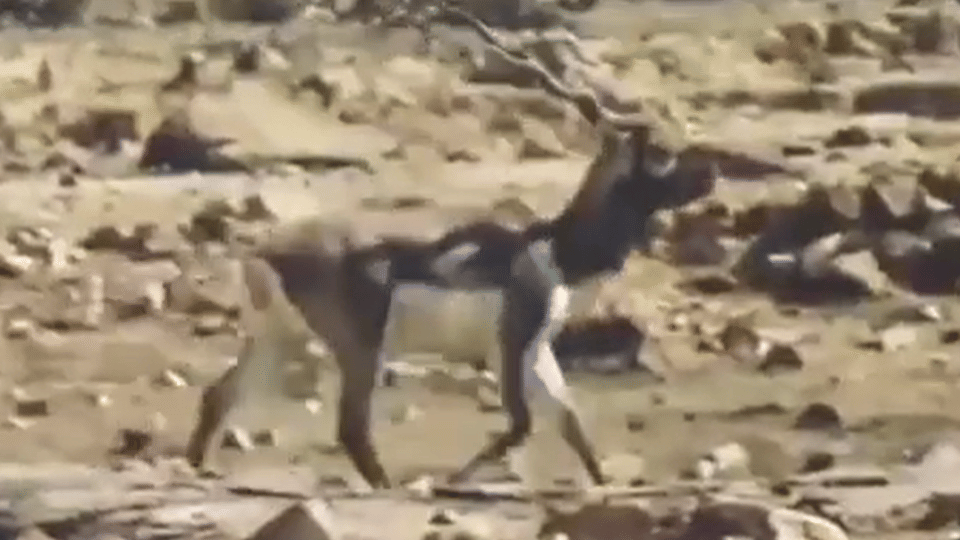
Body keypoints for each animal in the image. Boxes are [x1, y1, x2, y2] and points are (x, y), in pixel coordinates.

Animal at [184, 7, 716, 490]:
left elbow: (571, 422)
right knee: (351, 425)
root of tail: (263, 251)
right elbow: (522, 424)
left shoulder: (538, 348)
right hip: (359, 345)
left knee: (218, 396)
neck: (554, 246)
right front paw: (455, 478)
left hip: (277, 338)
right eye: (661, 152)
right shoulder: (511, 340)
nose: (710, 174)